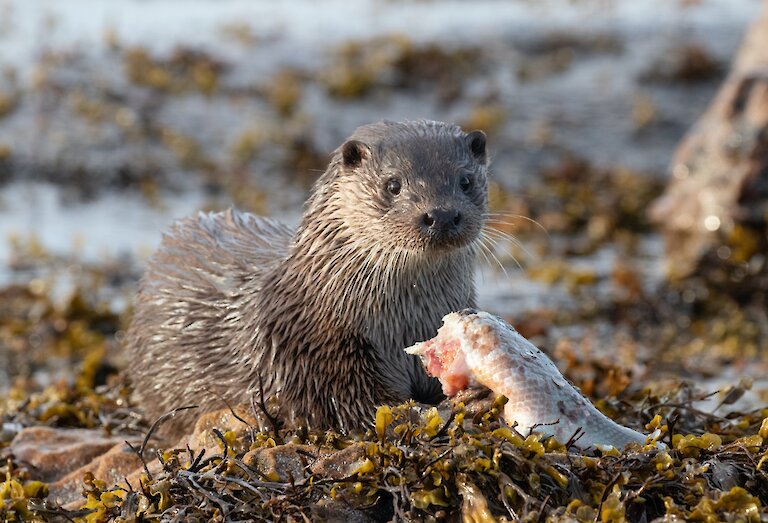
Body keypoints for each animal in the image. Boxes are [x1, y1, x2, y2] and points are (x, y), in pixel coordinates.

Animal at [126, 120, 489, 434]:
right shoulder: (315, 356)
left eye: (465, 181)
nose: (441, 215)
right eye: (393, 184)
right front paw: (445, 408)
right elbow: (364, 406)